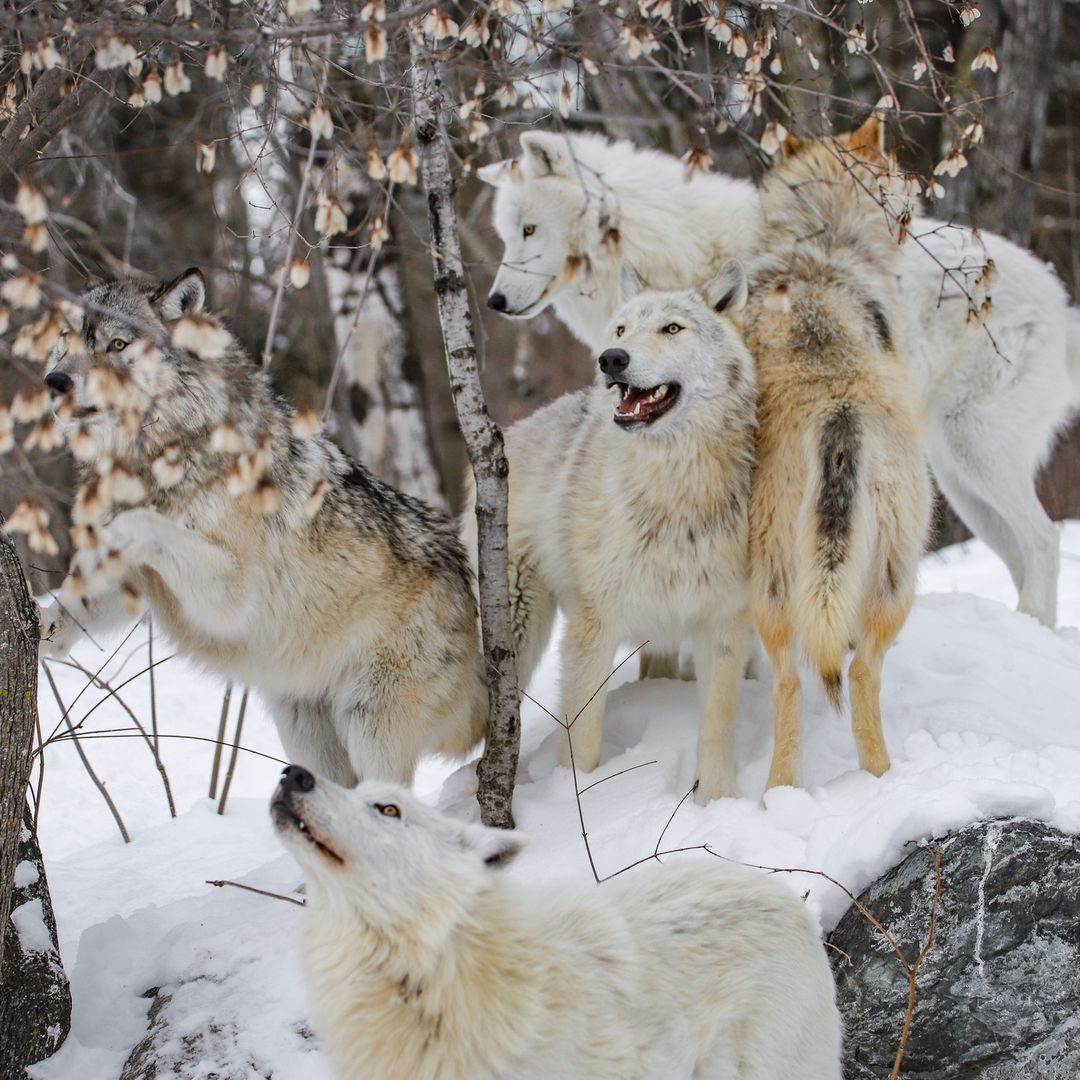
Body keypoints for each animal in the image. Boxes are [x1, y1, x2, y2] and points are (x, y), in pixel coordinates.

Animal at [39, 269, 488, 786]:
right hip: (305, 728)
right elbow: (78, 603)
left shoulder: (229, 592)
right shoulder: (137, 580)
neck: (156, 456)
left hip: (368, 725)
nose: (55, 381)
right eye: (67, 338)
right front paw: (42, 622)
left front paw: (107, 531)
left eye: (117, 344)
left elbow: (139, 524)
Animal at [463, 262, 755, 803]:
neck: (672, 494)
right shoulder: (593, 625)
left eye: (672, 328)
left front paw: (719, 801)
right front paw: (576, 797)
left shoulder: (723, 621)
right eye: (620, 330)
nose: (611, 359)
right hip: (518, 632)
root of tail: (518, 430)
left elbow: (717, 722)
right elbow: (583, 736)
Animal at [480, 129, 1080, 627]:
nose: (495, 302)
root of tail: (1061, 300)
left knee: (1044, 540)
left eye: (529, 229)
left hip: (975, 454)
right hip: (960, 481)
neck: (664, 246)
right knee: (1022, 550)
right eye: (505, 235)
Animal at [745, 116, 932, 789]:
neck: (825, 239)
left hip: (800, 586)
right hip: (887, 582)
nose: (918, 191)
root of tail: (839, 414)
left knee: (805, 677)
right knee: (850, 671)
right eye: (897, 164)